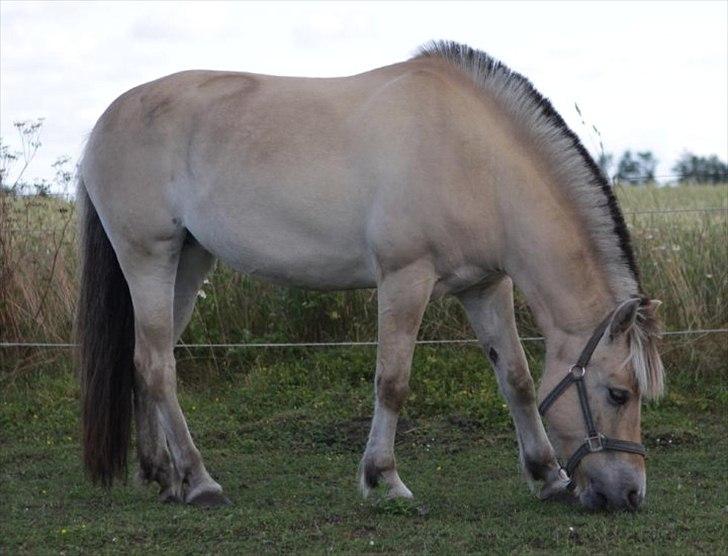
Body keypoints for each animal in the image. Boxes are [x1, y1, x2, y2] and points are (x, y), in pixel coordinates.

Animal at [77, 41, 664, 512]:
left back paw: (163, 475)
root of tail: (105, 120)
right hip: (148, 256)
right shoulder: (406, 278)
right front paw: (384, 479)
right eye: (618, 394)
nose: (632, 494)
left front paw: (547, 475)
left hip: (188, 260)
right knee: (157, 366)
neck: (473, 159)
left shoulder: (485, 286)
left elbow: (516, 379)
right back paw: (199, 482)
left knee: (145, 359)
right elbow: (392, 382)